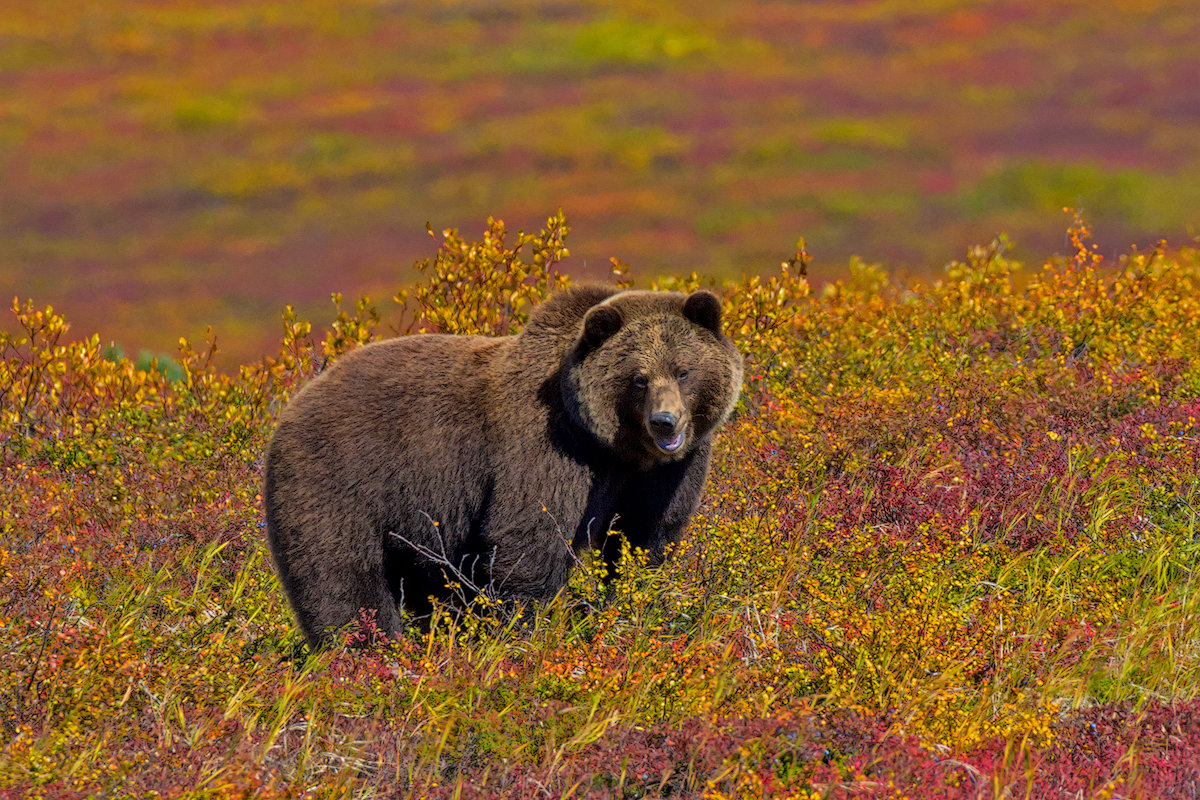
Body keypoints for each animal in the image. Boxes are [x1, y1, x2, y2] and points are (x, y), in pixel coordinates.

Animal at [265, 284, 739, 647]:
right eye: (638, 378)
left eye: (684, 371)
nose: (665, 422)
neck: (612, 447)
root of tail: (292, 405)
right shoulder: (547, 453)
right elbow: (528, 542)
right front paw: (520, 631)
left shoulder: (667, 472)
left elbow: (645, 538)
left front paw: (631, 601)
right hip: (339, 481)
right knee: (341, 580)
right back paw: (366, 651)